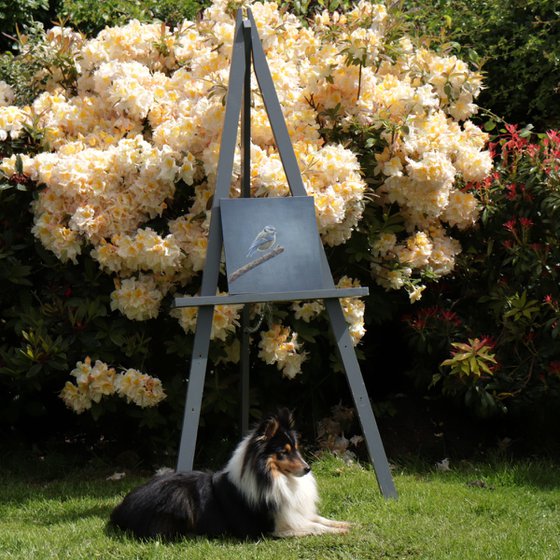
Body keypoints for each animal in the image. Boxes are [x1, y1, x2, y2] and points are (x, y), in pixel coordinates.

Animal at [109, 410, 350, 540]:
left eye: (297, 449)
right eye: (283, 452)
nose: (307, 468)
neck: (273, 478)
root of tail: (120, 508)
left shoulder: (294, 512)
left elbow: (321, 519)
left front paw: (347, 524)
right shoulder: (274, 528)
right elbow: (315, 527)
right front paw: (339, 531)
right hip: (178, 496)